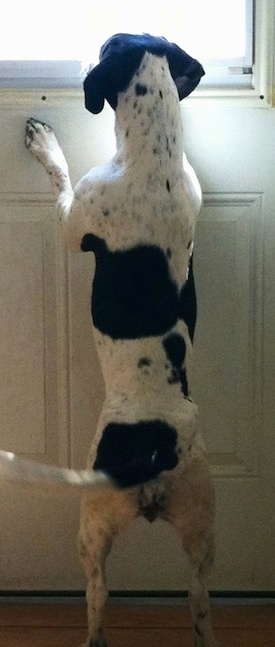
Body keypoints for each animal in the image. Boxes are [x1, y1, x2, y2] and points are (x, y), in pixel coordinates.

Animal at [24, 34, 218, 647]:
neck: (154, 157)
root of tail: (155, 447)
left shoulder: (72, 218)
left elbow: (60, 175)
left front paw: (44, 141)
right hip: (203, 529)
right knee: (199, 601)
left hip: (92, 524)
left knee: (97, 596)